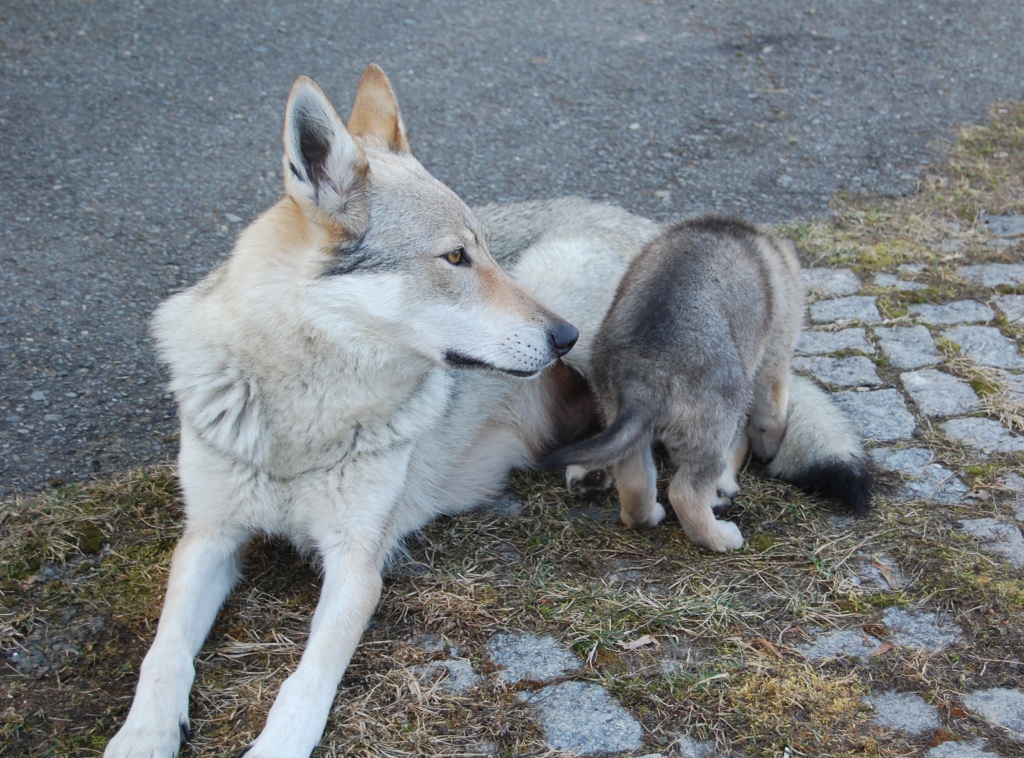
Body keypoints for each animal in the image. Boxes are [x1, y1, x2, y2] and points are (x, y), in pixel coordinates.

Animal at [544, 216, 872, 553]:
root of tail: (648, 371)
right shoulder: (774, 359)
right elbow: (771, 416)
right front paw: (770, 448)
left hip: (621, 416)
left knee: (634, 480)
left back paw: (647, 514)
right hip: (719, 421)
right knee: (686, 492)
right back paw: (719, 535)